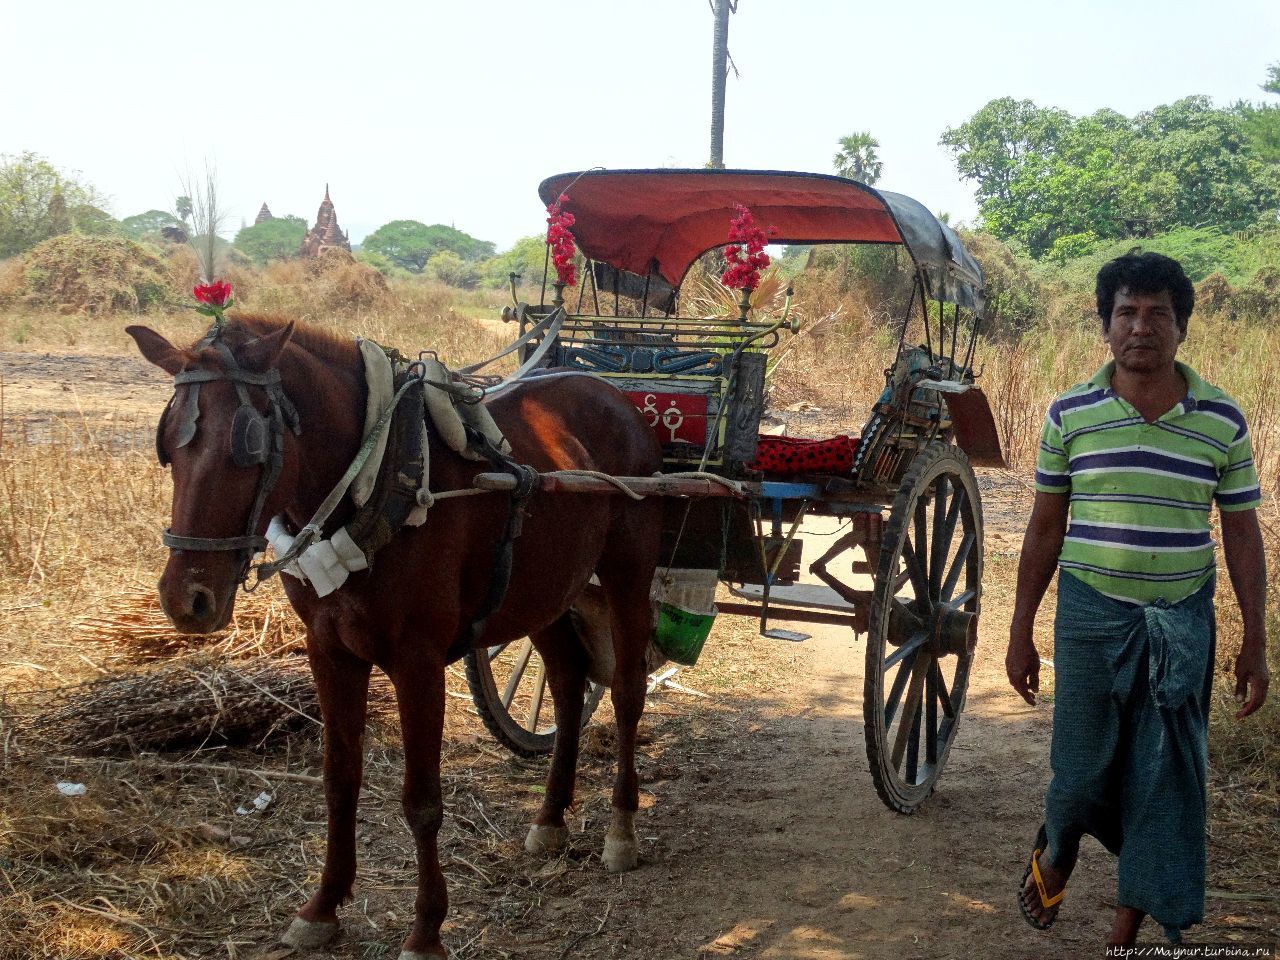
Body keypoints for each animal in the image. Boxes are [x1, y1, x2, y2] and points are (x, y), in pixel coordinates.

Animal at [126, 321, 665, 960]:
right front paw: (322, 906)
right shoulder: (329, 651)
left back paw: (622, 827)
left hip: (628, 573)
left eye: (249, 448)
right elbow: (339, 779)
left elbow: (422, 802)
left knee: (628, 691)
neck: (376, 474)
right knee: (565, 683)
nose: (186, 598)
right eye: (167, 446)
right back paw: (551, 817)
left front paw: (426, 929)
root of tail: (616, 396)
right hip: (549, 589)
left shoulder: (418, 662)